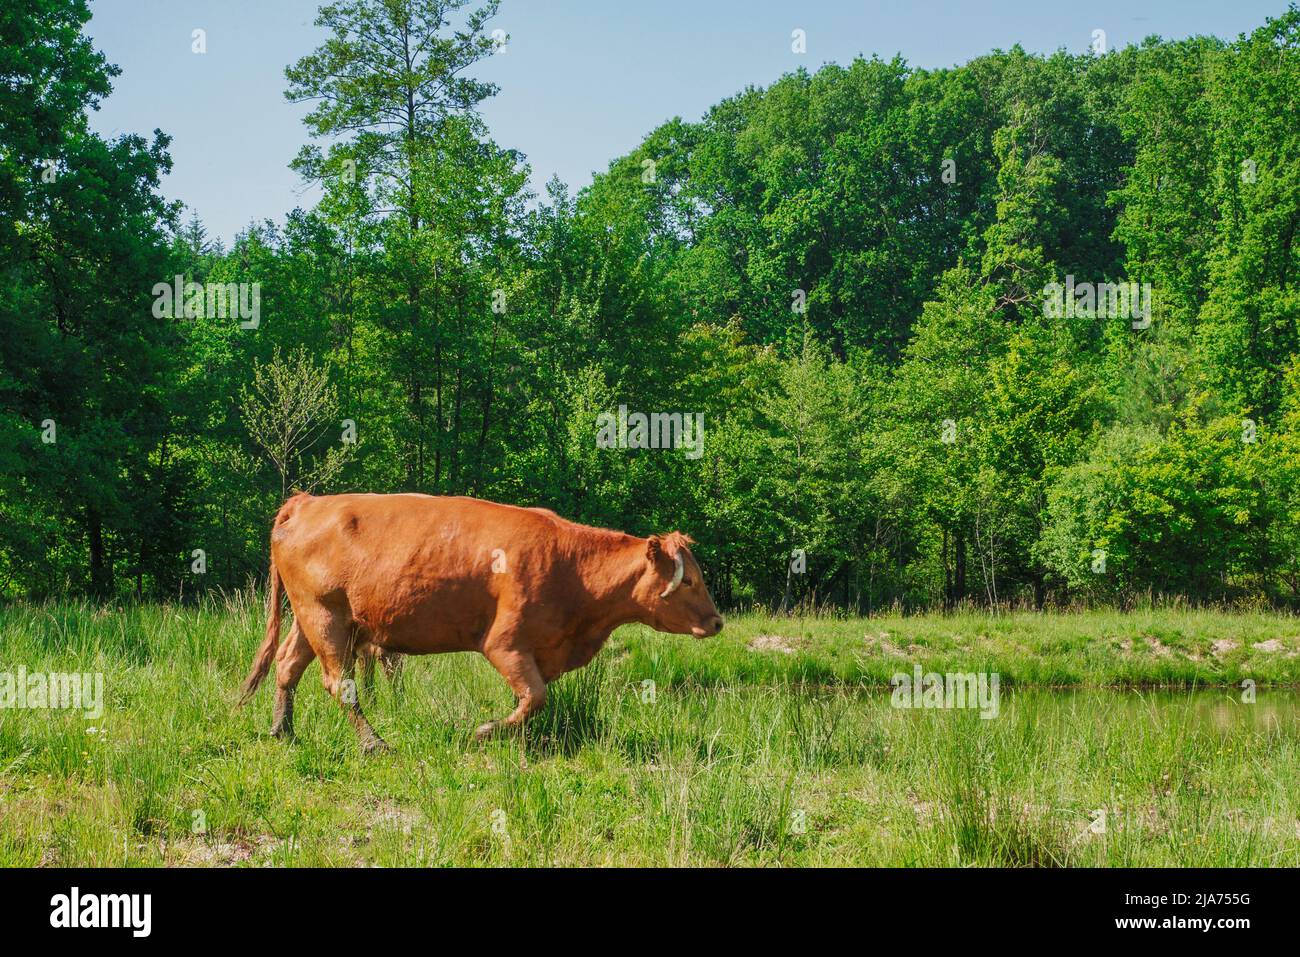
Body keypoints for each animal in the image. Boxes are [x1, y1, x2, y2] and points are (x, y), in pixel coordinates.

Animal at [237, 493, 723, 752]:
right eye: (690, 580)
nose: (717, 622)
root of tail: (309, 501)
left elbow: (531, 701)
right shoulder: (505, 644)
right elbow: (535, 698)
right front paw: (485, 732)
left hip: (314, 618)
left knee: (287, 665)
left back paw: (283, 730)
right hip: (325, 617)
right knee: (340, 683)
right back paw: (373, 743)